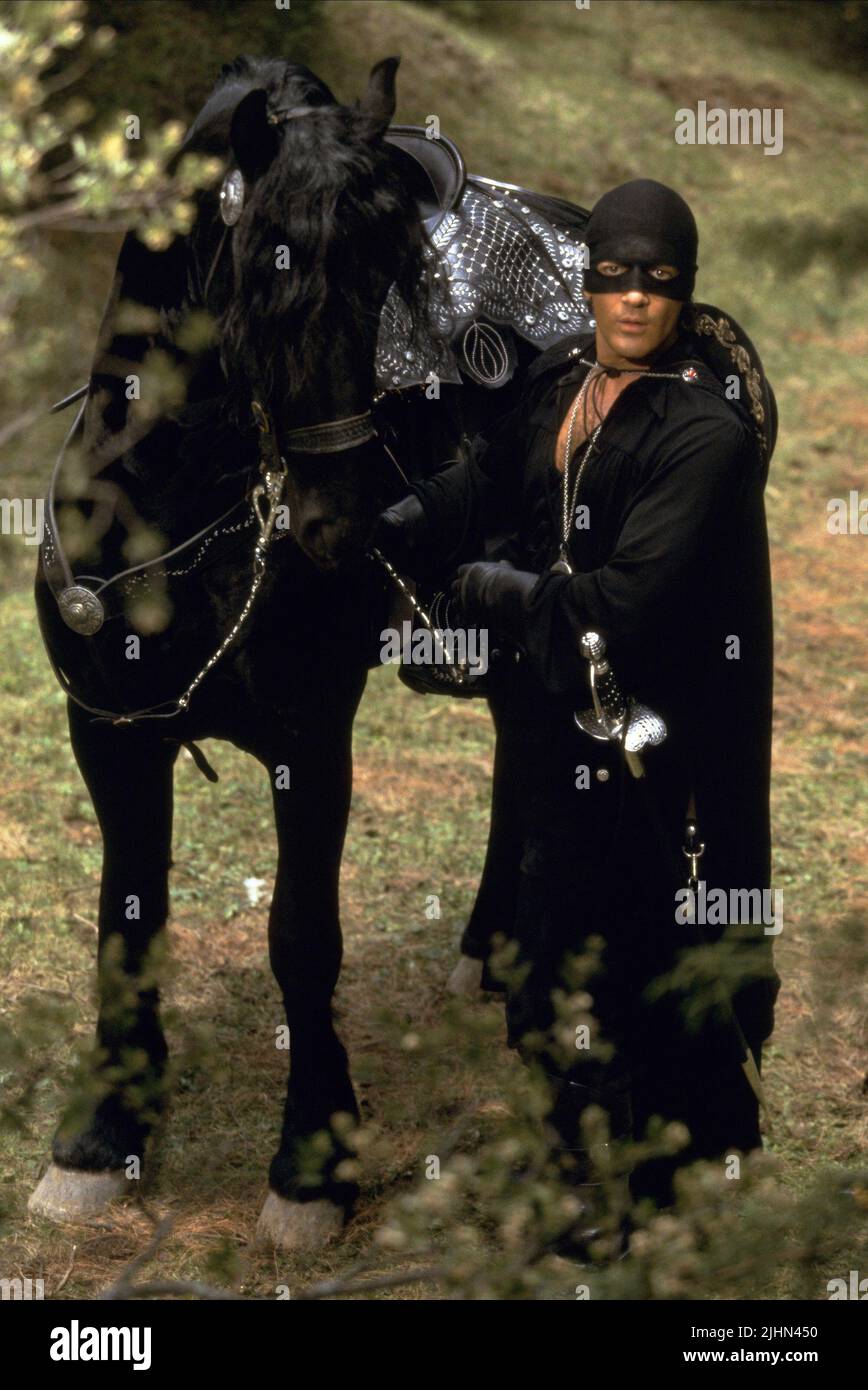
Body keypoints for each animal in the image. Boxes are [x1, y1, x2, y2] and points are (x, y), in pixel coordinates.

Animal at [30, 54, 592, 1251]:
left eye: (393, 275)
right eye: (268, 269)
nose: (347, 516)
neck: (169, 514)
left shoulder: (311, 743)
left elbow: (301, 937)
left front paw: (309, 1168)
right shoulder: (109, 736)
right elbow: (125, 923)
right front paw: (99, 1139)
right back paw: (492, 949)